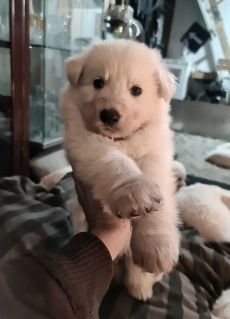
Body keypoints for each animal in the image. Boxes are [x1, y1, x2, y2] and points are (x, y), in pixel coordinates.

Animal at [60, 38, 181, 302]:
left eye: (136, 90)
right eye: (98, 83)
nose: (109, 115)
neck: (122, 140)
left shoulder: (156, 156)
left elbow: (159, 198)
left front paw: (156, 247)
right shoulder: (85, 144)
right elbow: (115, 162)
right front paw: (134, 191)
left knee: (135, 274)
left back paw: (141, 289)